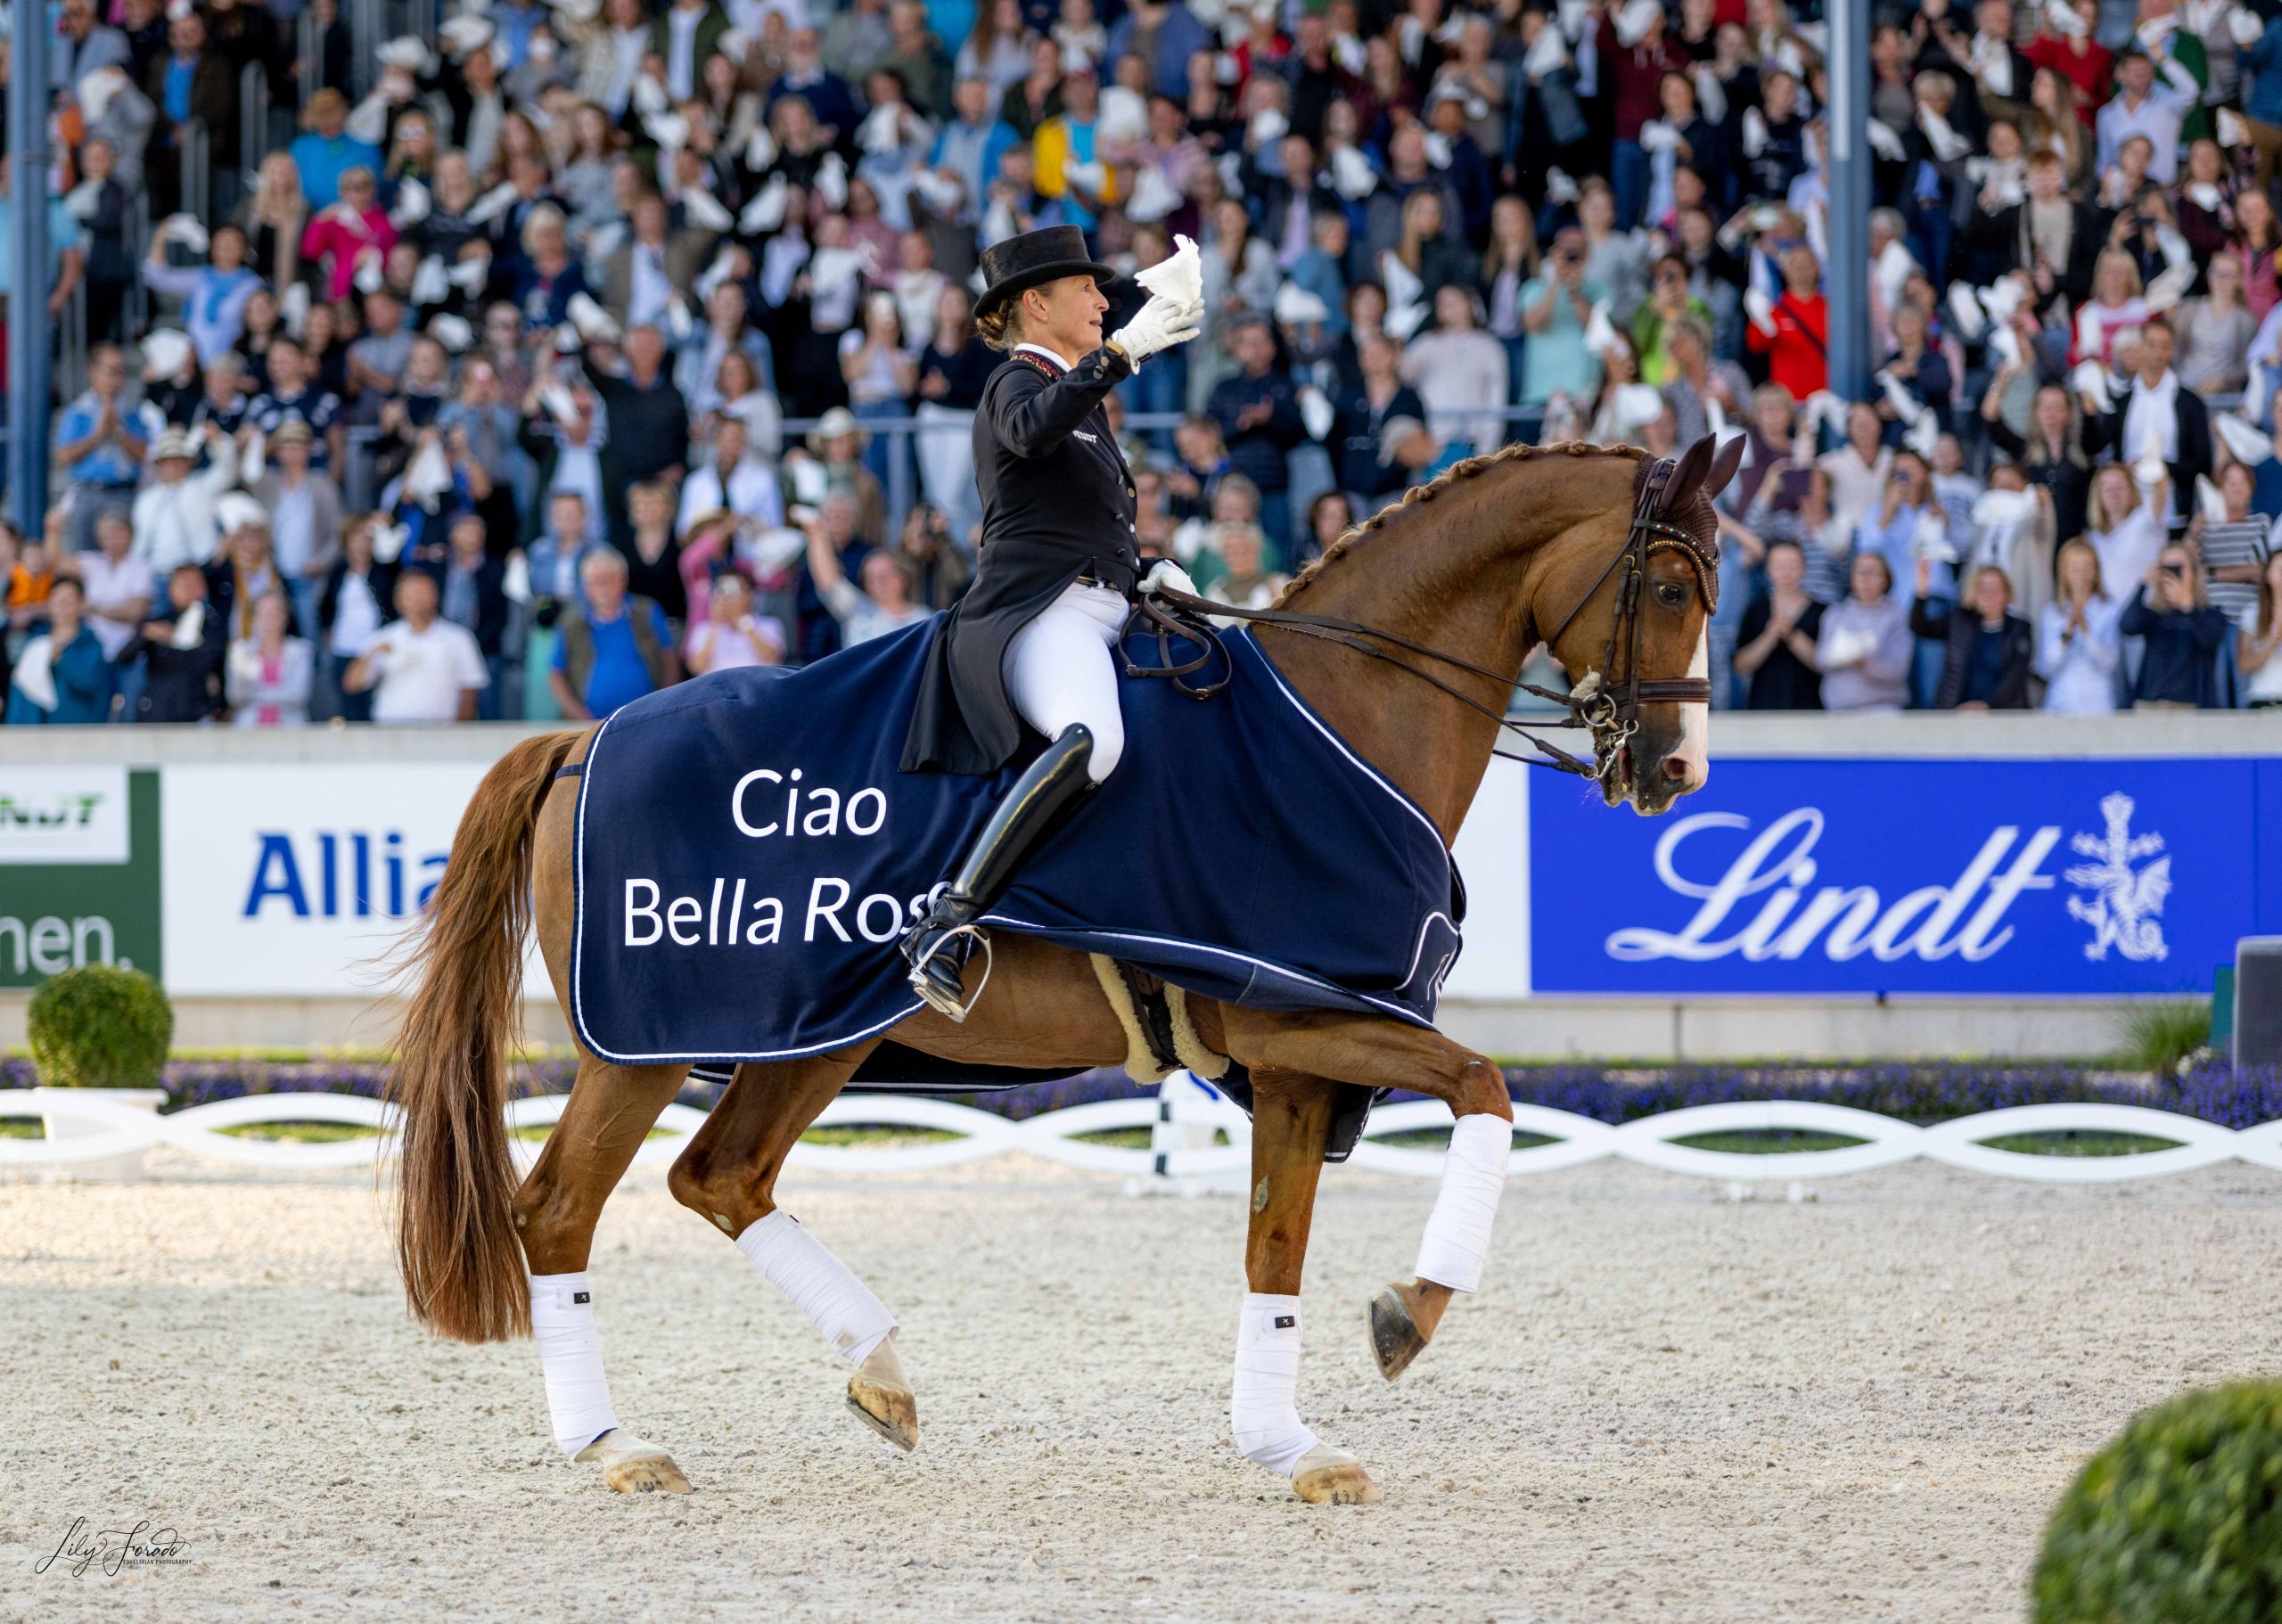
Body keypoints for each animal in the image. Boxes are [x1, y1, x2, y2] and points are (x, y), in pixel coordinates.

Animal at [383, 438, 1734, 1505]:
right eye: (1671, 584)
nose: (1675, 771)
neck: (1348, 711)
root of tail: (582, 739)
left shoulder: (1293, 1066)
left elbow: (1275, 1250)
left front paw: (1287, 1444)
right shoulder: (1302, 1022)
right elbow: (1487, 1087)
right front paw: (1413, 1309)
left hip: (818, 1032)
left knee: (719, 1176)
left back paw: (879, 1371)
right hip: (655, 1038)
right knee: (559, 1210)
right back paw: (614, 1445)